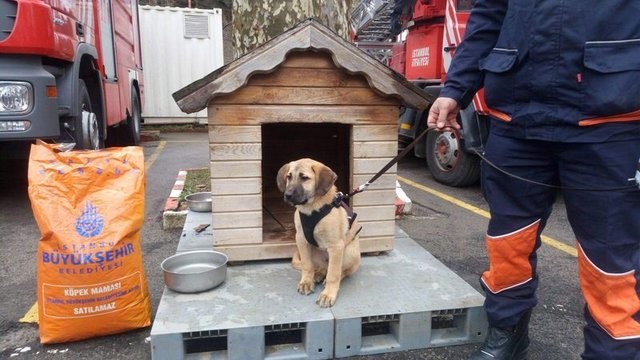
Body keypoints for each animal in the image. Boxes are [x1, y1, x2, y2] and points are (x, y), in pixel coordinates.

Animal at [278, 158, 362, 306]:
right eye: (289, 177)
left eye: (304, 178)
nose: (287, 195)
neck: (311, 209)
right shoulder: (301, 240)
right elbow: (306, 265)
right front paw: (306, 282)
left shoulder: (336, 246)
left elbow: (333, 275)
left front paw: (328, 295)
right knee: (320, 268)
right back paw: (317, 274)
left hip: (349, 252)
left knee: (340, 271)